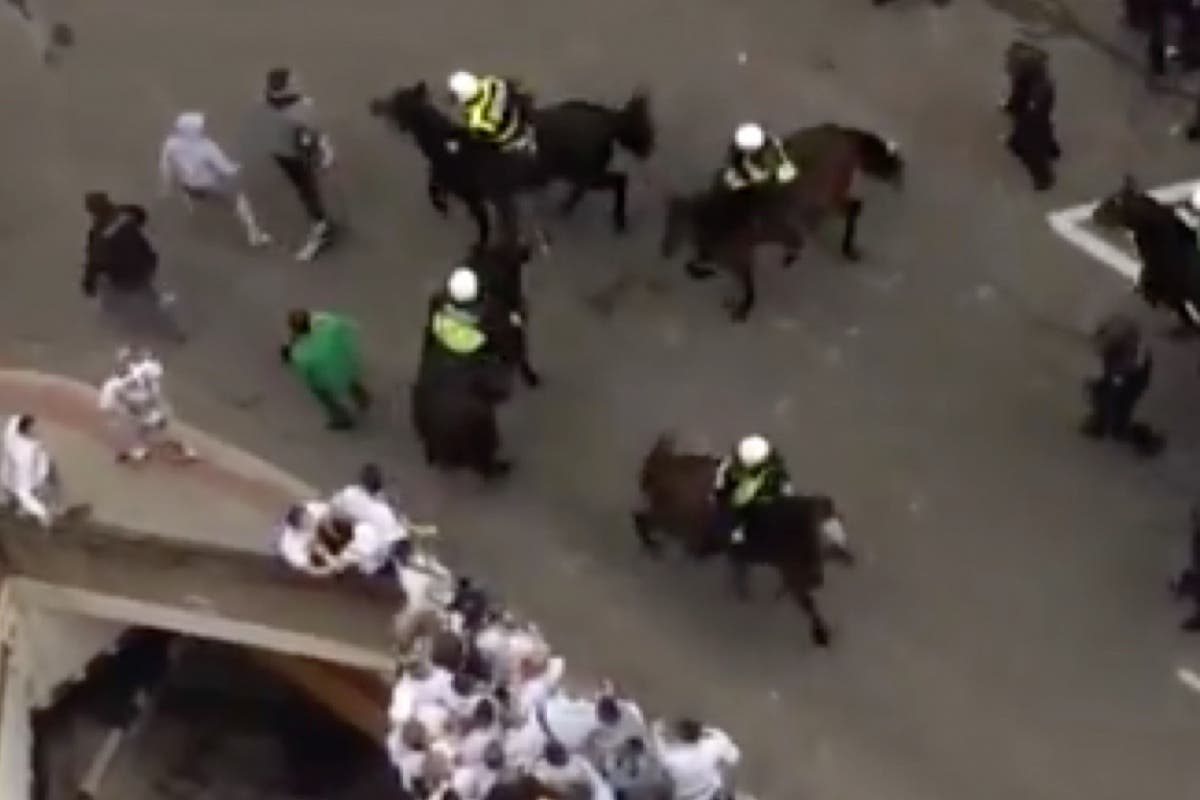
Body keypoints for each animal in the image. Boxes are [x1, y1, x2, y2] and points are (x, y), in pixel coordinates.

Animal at [638, 434, 854, 647]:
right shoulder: (791, 573)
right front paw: (821, 633)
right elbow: (807, 604)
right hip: (675, 524)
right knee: (641, 518)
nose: (816, 578)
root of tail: (661, 467)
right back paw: (653, 546)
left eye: (837, 532)